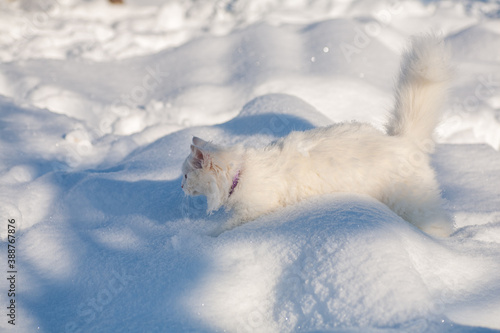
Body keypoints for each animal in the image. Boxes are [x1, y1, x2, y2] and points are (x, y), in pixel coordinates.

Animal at [183, 34, 454, 236]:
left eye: (185, 175)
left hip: (412, 204)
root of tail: (401, 140)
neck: (242, 171)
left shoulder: (255, 209)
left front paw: (204, 239)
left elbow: (224, 229)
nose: (182, 188)